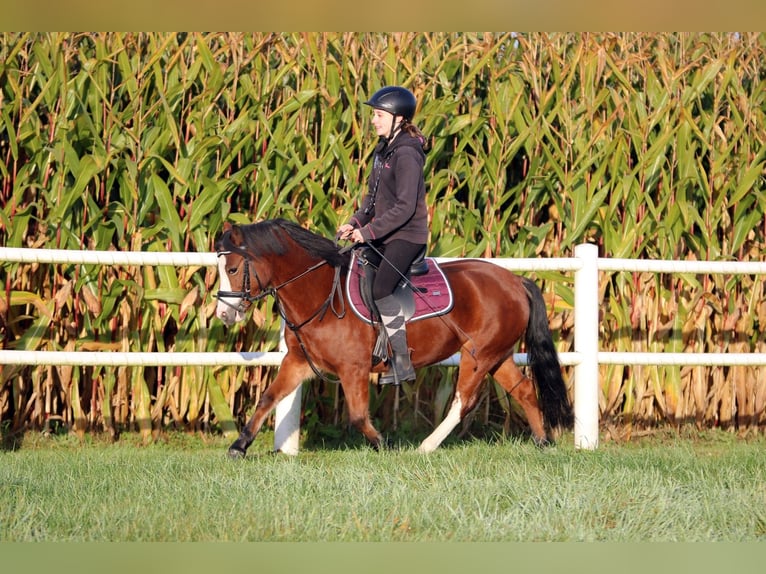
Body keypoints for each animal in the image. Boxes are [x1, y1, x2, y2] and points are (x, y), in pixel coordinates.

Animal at [213, 218, 572, 462]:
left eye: (232, 268)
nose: (224, 314)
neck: (321, 292)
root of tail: (515, 280)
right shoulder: (298, 362)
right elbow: (267, 399)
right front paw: (238, 446)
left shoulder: (353, 368)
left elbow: (358, 416)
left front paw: (384, 445)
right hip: (497, 355)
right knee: (524, 391)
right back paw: (543, 442)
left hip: (478, 355)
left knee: (463, 401)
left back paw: (426, 446)